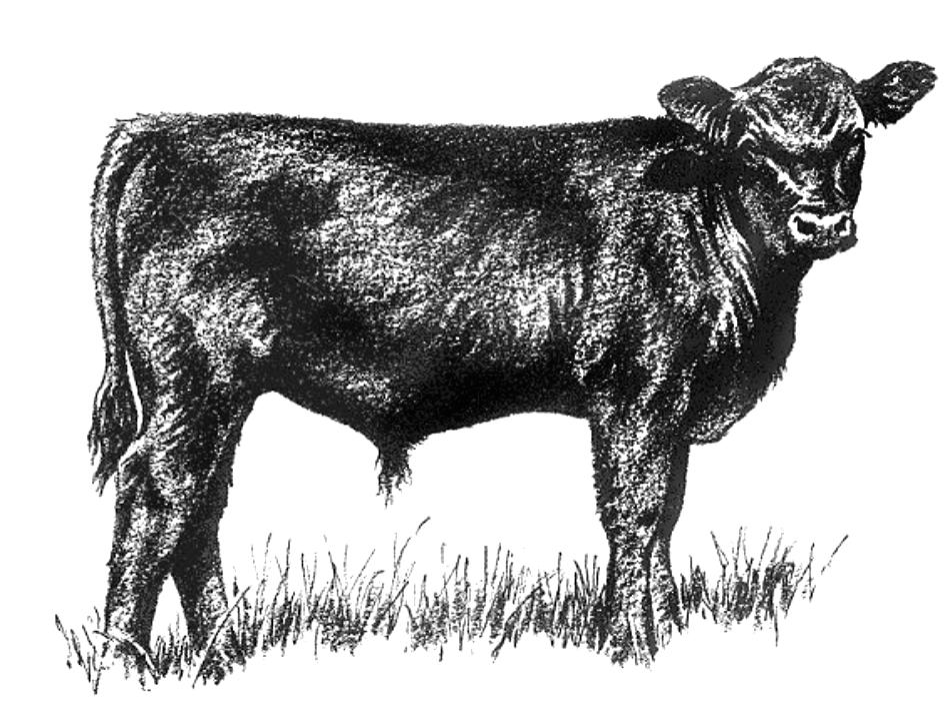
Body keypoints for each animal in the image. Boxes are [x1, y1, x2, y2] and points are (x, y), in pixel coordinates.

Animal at [88, 57, 934, 676]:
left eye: (854, 138)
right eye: (752, 144)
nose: (822, 220)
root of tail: (162, 129)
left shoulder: (674, 405)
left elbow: (667, 516)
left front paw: (666, 634)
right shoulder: (635, 393)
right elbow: (634, 514)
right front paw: (629, 646)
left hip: (218, 393)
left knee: (199, 508)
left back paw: (220, 656)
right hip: (195, 382)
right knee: (158, 495)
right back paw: (124, 663)